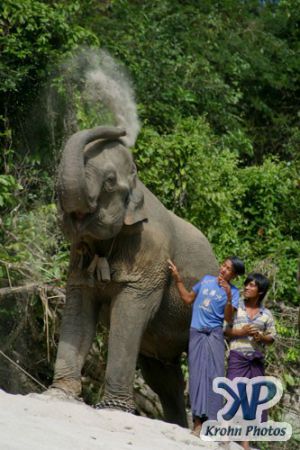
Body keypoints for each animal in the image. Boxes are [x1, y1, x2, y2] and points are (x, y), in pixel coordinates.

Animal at [50, 125, 217, 428]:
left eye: (109, 182)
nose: (120, 129)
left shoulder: (150, 254)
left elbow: (129, 314)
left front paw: (113, 408)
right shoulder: (79, 255)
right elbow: (80, 309)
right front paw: (59, 394)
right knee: (164, 378)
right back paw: (176, 425)